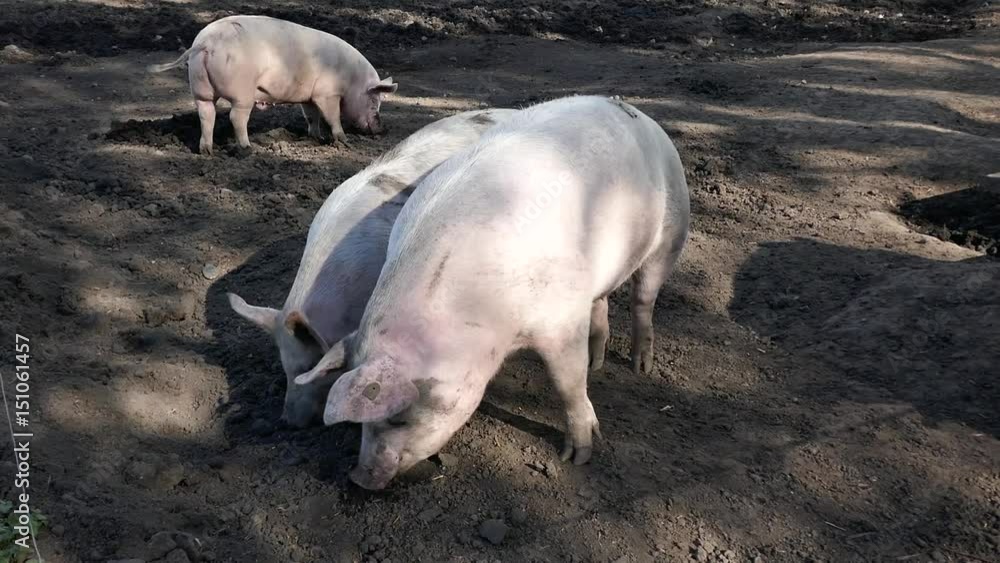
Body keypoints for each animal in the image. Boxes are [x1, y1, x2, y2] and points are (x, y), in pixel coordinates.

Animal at [146, 15, 398, 155]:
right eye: (374, 100)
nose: (383, 129)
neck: (350, 79)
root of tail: (205, 42)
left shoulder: (308, 96)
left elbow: (311, 116)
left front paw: (315, 138)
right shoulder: (327, 93)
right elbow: (332, 116)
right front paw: (343, 140)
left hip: (200, 88)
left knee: (206, 113)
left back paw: (207, 152)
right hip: (242, 92)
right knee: (236, 117)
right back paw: (248, 149)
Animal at [294, 95, 691, 489]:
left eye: (399, 418)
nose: (359, 477)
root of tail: (641, 117)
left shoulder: (561, 319)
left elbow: (568, 383)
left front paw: (577, 457)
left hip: (672, 232)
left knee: (643, 300)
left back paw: (640, 367)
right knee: (602, 303)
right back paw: (598, 361)